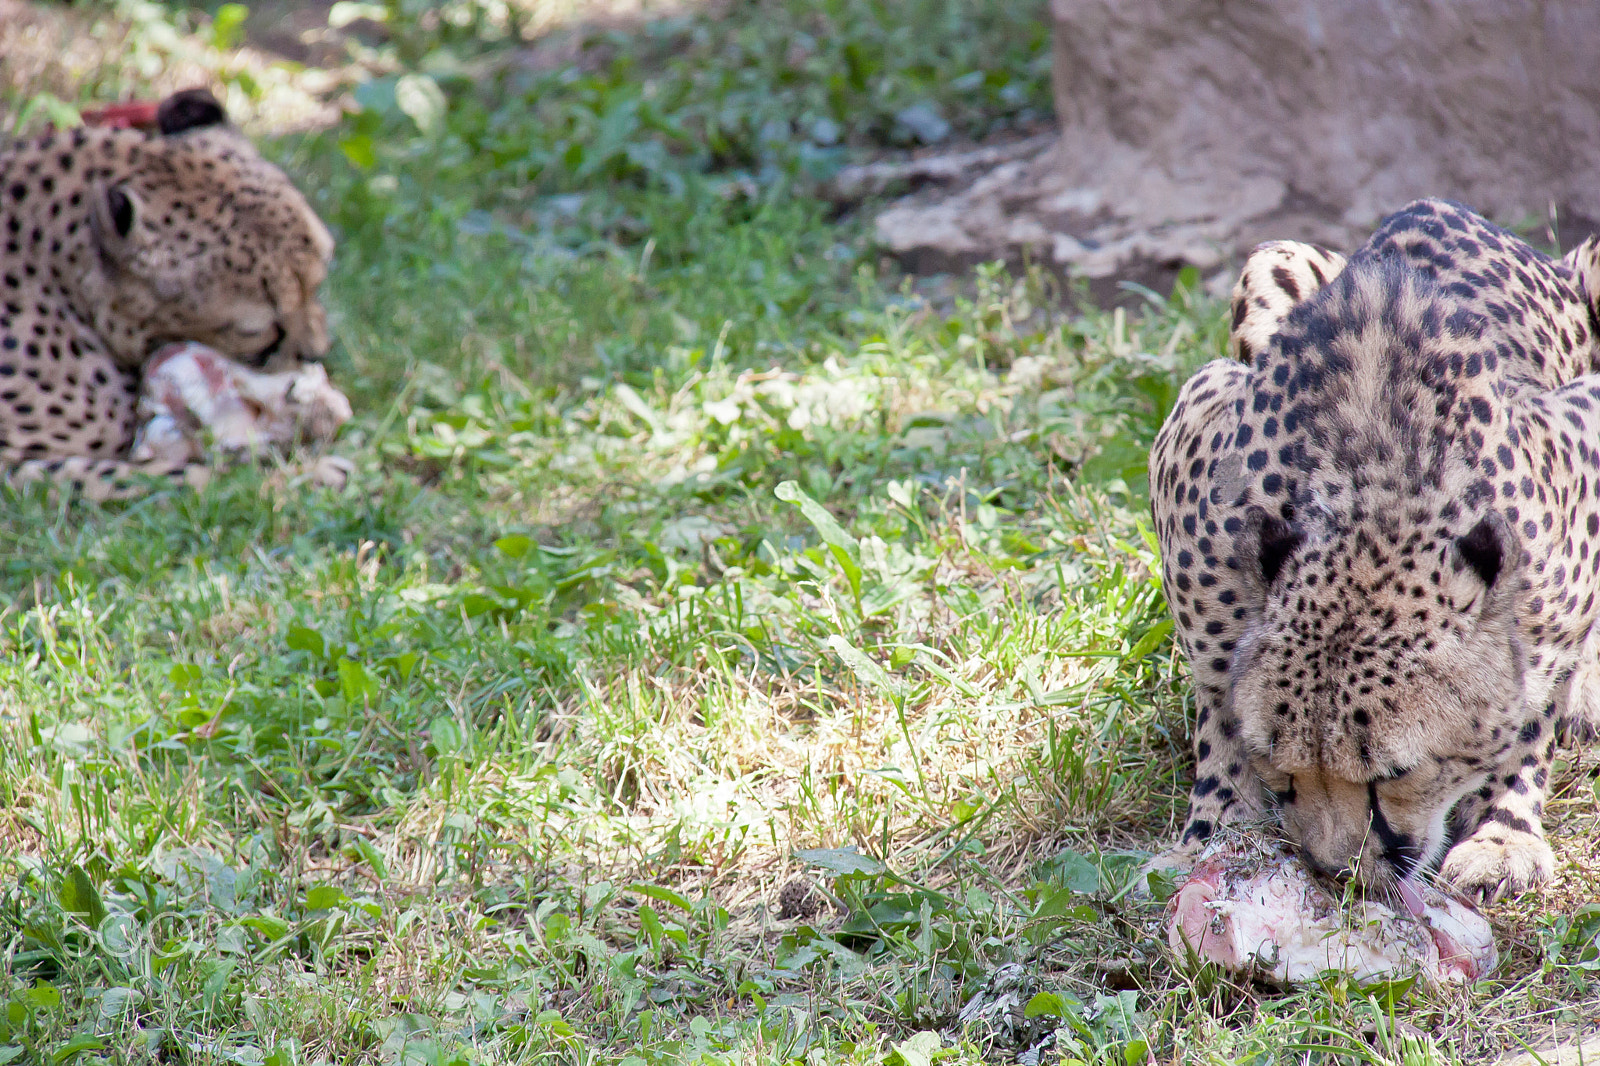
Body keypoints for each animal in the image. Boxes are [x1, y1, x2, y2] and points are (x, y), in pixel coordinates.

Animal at [0, 88, 335, 500]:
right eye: (258, 330)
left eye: (317, 282)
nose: (316, 354)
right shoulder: (16, 470)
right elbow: (181, 479)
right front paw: (308, 480)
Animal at [1150, 198, 1600, 903]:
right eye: (1282, 767)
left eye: (1394, 775)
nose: (1334, 869)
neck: (1378, 498)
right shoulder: (1197, 426)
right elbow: (1217, 688)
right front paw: (1216, 825)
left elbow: (1531, 705)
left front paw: (1502, 835)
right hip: (1273, 259)